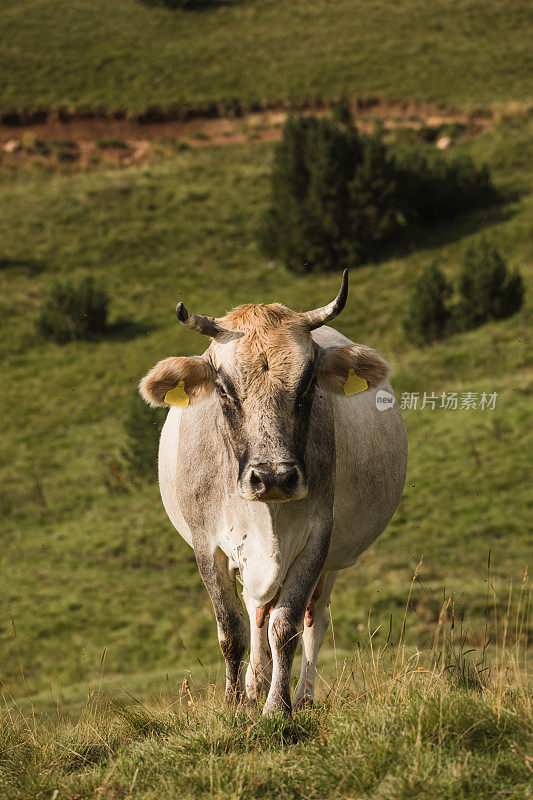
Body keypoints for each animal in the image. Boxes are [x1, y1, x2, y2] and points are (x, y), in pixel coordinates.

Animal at [139, 272, 406, 716]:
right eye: (223, 389)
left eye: (309, 384)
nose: (274, 477)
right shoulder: (207, 545)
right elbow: (232, 628)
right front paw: (234, 703)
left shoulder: (316, 539)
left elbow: (287, 626)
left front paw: (278, 707)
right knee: (255, 609)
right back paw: (254, 683)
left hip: (331, 561)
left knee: (314, 620)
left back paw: (302, 695)